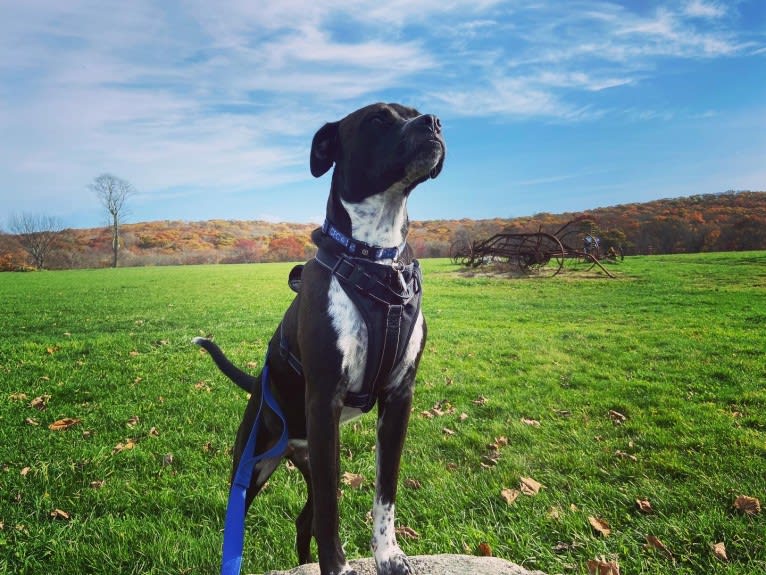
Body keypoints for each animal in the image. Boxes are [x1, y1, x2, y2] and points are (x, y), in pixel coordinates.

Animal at [195, 104, 448, 575]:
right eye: (380, 119)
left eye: (413, 111)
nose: (435, 122)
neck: (376, 259)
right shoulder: (325, 398)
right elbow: (332, 512)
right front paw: (338, 566)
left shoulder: (399, 398)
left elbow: (385, 492)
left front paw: (388, 555)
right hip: (258, 463)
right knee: (262, 514)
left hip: (314, 458)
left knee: (303, 520)